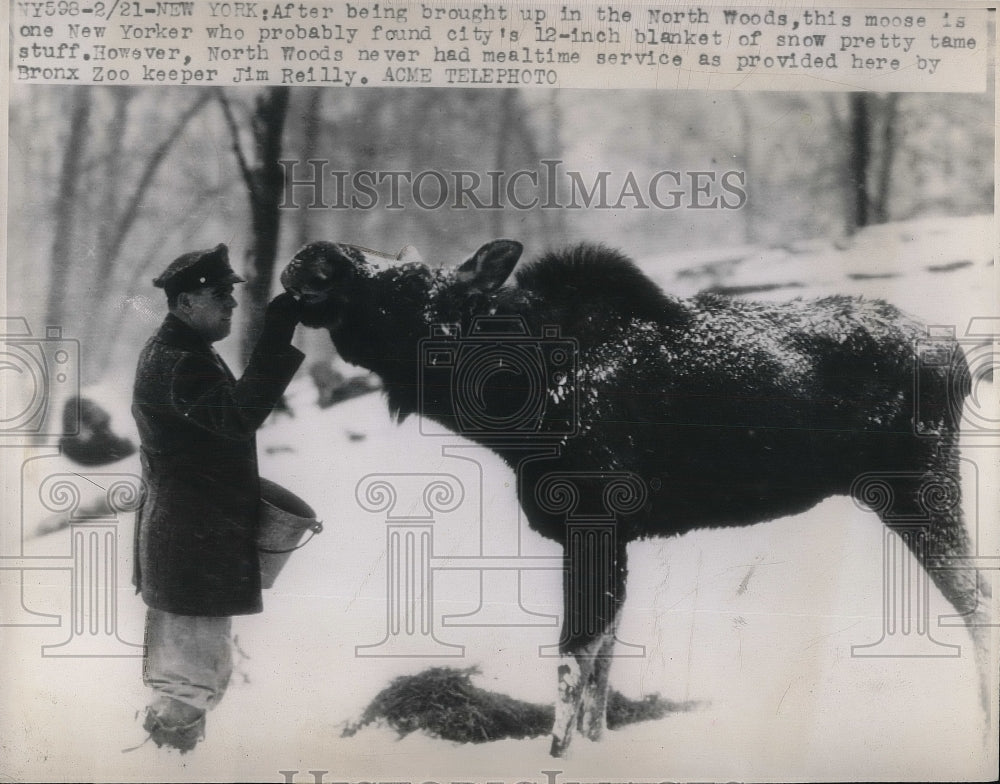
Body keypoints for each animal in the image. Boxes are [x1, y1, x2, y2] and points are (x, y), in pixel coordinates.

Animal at [278, 239, 988, 752]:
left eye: (405, 281)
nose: (312, 256)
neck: (511, 408)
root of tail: (958, 358)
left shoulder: (590, 520)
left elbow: (573, 657)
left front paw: (559, 756)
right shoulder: (614, 535)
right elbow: (604, 662)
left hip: (919, 490)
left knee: (977, 601)